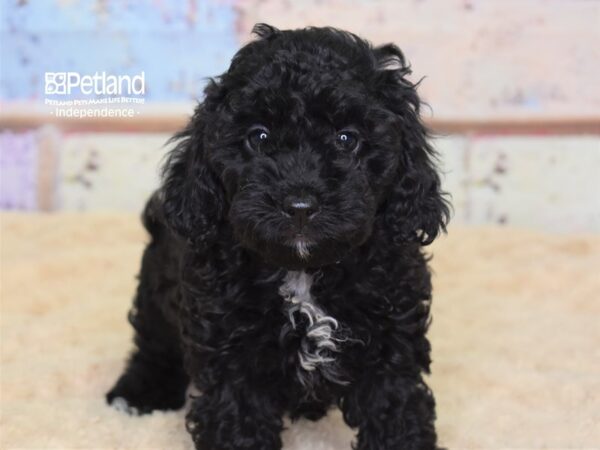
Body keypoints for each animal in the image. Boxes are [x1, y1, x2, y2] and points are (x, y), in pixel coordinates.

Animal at [105, 24, 448, 450]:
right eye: (260, 137)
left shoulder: (391, 344)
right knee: (153, 343)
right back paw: (137, 393)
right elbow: (238, 426)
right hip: (157, 289)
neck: (303, 271)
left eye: (347, 139)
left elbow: (396, 414)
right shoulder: (231, 357)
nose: (299, 205)